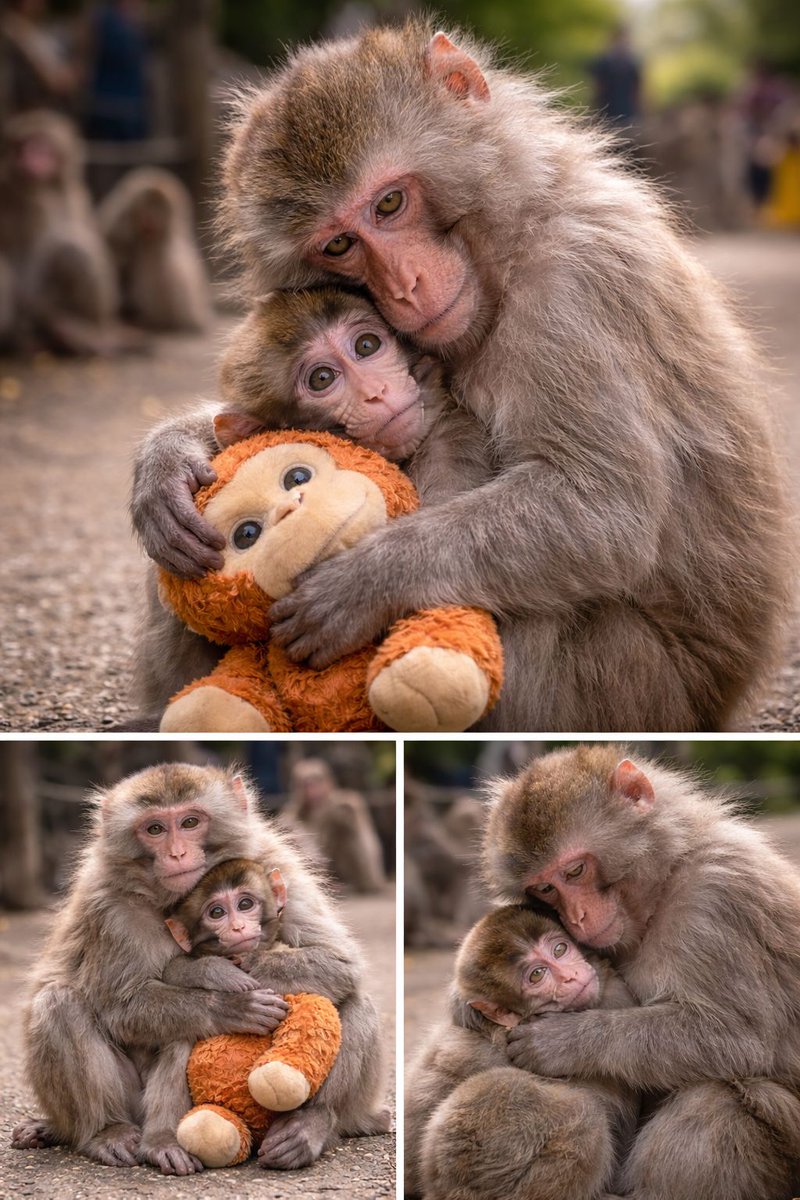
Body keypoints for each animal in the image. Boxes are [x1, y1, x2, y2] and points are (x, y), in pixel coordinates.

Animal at [10, 763, 388, 1175]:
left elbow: (338, 962)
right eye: (155, 829)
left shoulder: (276, 863)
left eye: (190, 822)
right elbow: (122, 1006)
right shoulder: (108, 906)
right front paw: (224, 993)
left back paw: (310, 1124)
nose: (176, 853)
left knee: (354, 999)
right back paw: (122, 1134)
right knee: (61, 1003)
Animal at [130, 19, 791, 734]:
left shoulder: (573, 285)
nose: (406, 285)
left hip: (636, 684)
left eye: (390, 203)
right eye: (338, 245)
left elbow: (605, 507)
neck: (505, 251)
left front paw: (365, 583)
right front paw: (168, 459)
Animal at [474, 745, 800, 1200]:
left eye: (574, 871)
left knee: (720, 1096)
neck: (663, 883)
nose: (577, 916)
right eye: (545, 889)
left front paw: (563, 1041)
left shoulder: (718, 897)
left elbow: (738, 1039)